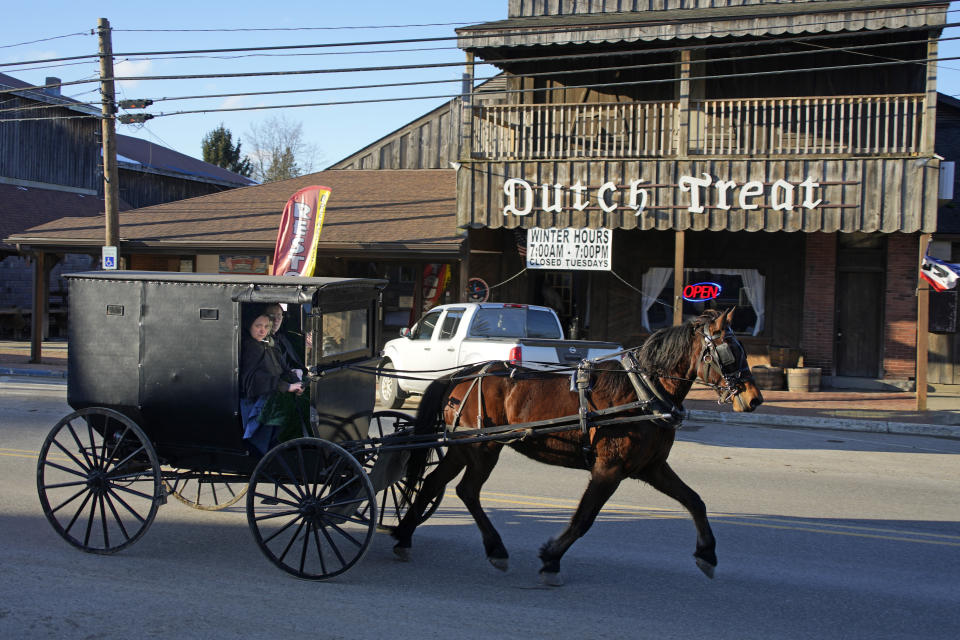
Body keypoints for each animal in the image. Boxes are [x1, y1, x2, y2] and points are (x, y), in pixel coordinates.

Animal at [390, 308, 764, 584]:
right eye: (729, 352)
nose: (755, 398)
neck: (642, 389)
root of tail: (461, 374)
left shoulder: (651, 467)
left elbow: (695, 501)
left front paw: (708, 554)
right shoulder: (608, 469)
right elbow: (584, 518)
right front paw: (551, 559)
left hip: (463, 447)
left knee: (434, 483)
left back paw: (405, 536)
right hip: (483, 449)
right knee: (467, 490)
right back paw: (494, 549)